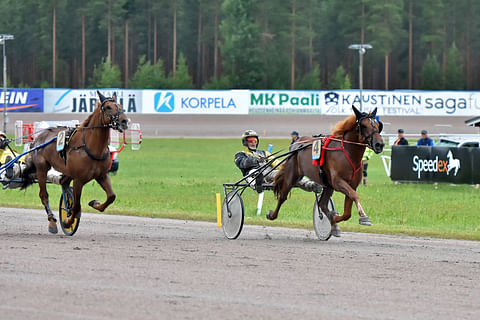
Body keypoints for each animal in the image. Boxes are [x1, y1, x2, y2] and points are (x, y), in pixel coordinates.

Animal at [22, 91, 129, 234]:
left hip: (68, 171)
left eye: (121, 106)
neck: (90, 146)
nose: (124, 121)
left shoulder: (102, 175)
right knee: (44, 195)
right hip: (42, 168)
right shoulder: (79, 179)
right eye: (108, 107)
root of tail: (38, 138)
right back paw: (52, 222)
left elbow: (111, 196)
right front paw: (68, 221)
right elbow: (77, 205)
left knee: (63, 182)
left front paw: (95, 203)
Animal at [268, 105, 384, 235]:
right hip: (292, 176)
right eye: (364, 125)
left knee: (322, 204)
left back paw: (333, 224)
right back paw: (271, 215)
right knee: (282, 196)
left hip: (328, 185)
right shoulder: (338, 182)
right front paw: (364, 216)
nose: (379, 144)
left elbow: (347, 212)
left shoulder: (351, 185)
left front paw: (334, 218)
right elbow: (355, 196)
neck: (347, 152)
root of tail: (296, 143)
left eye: (378, 125)